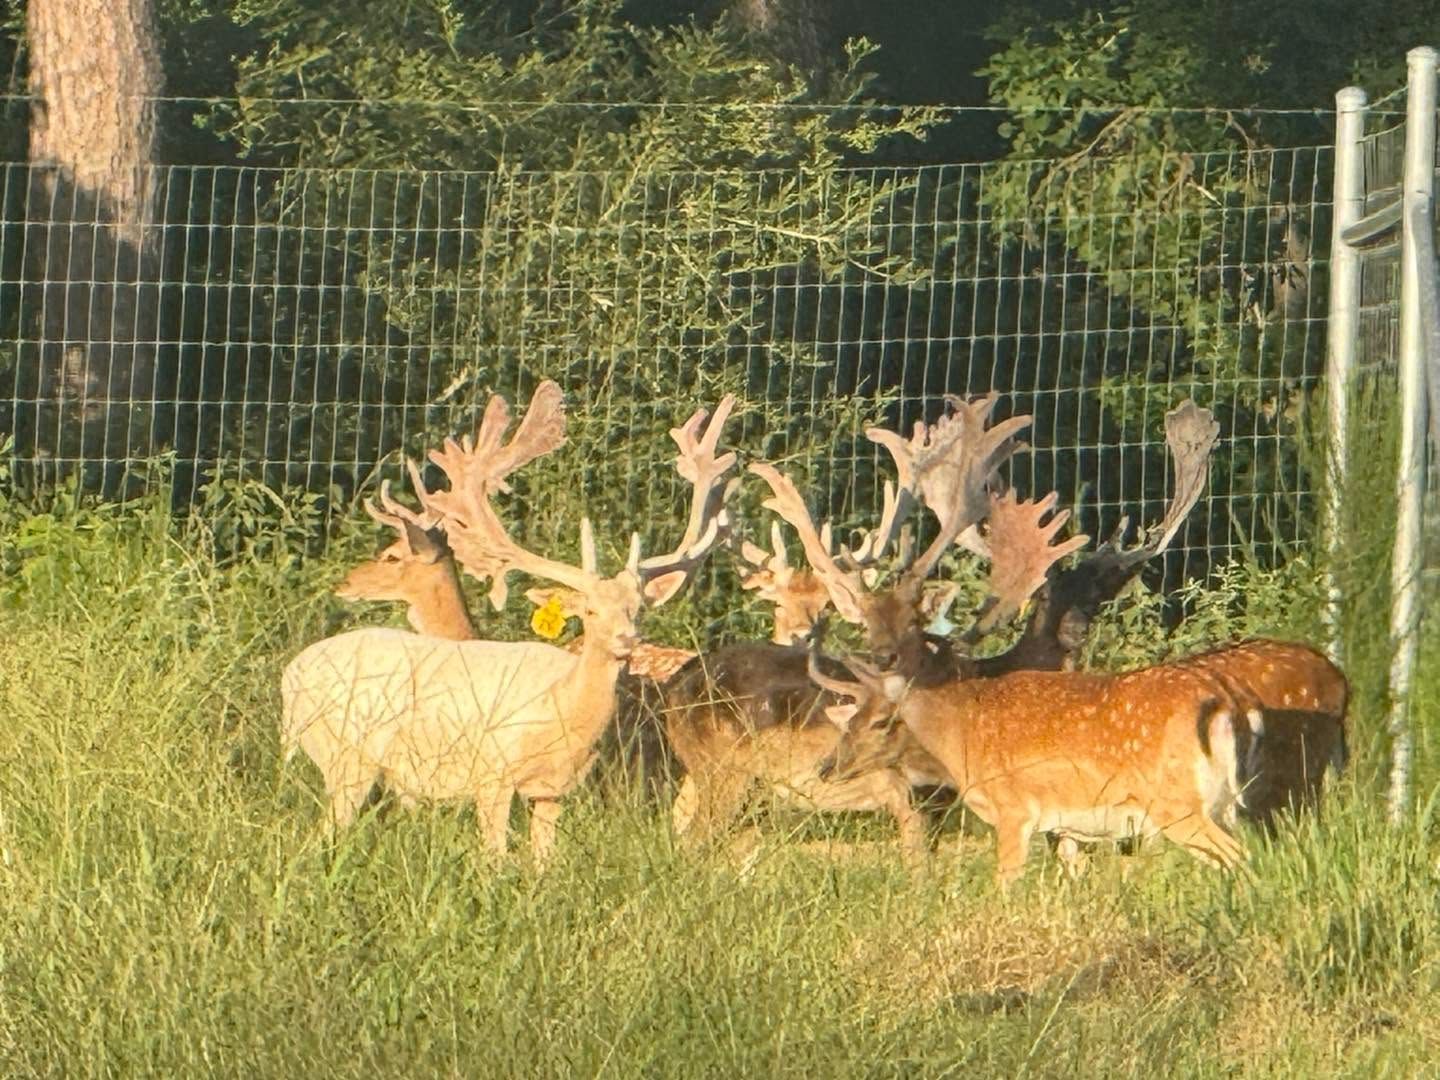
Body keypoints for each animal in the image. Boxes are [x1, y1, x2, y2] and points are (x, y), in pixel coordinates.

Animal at [280, 380, 735, 863]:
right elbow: (494, 861)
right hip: (345, 754)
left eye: (638, 607)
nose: (627, 638)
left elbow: (542, 864)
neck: (560, 713)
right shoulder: (491, 773)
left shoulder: (554, 790)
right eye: (590, 610)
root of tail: (289, 677)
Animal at [807, 651, 1261, 887]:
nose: (827, 767)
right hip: (1227, 803)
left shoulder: (1014, 810)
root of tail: (1228, 703)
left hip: (1177, 804)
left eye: (882, 721)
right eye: (848, 719)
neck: (958, 738)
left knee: (1239, 857)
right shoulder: (1066, 827)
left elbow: (1004, 883)